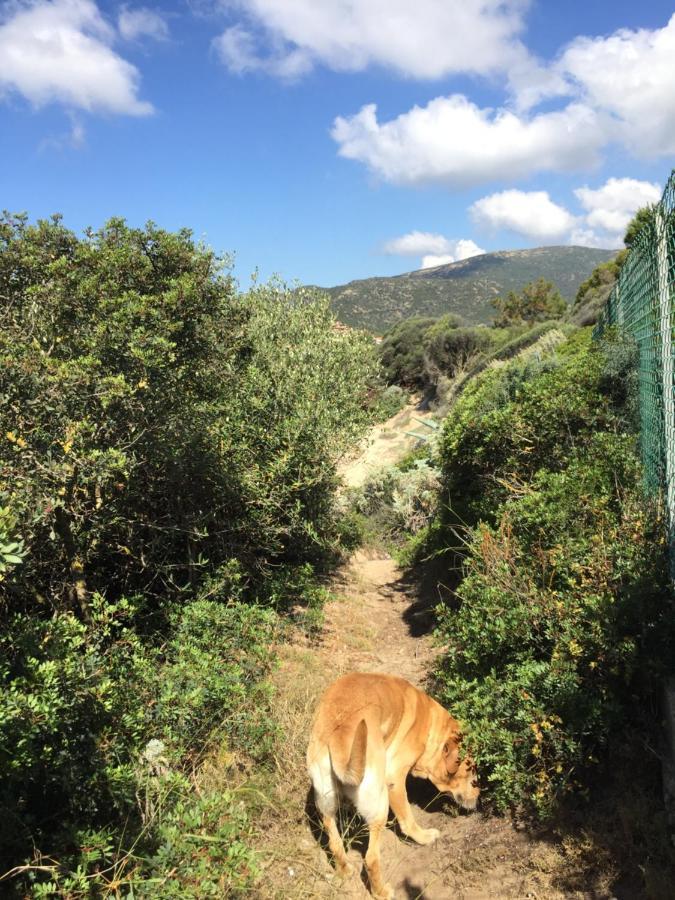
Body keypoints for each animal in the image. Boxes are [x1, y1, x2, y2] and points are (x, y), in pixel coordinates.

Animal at [306, 672, 480, 896]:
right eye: (471, 773)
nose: (479, 799)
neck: (429, 722)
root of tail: (339, 735)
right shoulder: (395, 780)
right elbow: (407, 820)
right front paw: (423, 837)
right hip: (380, 803)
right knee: (371, 858)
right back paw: (381, 892)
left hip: (326, 805)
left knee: (335, 844)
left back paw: (345, 872)